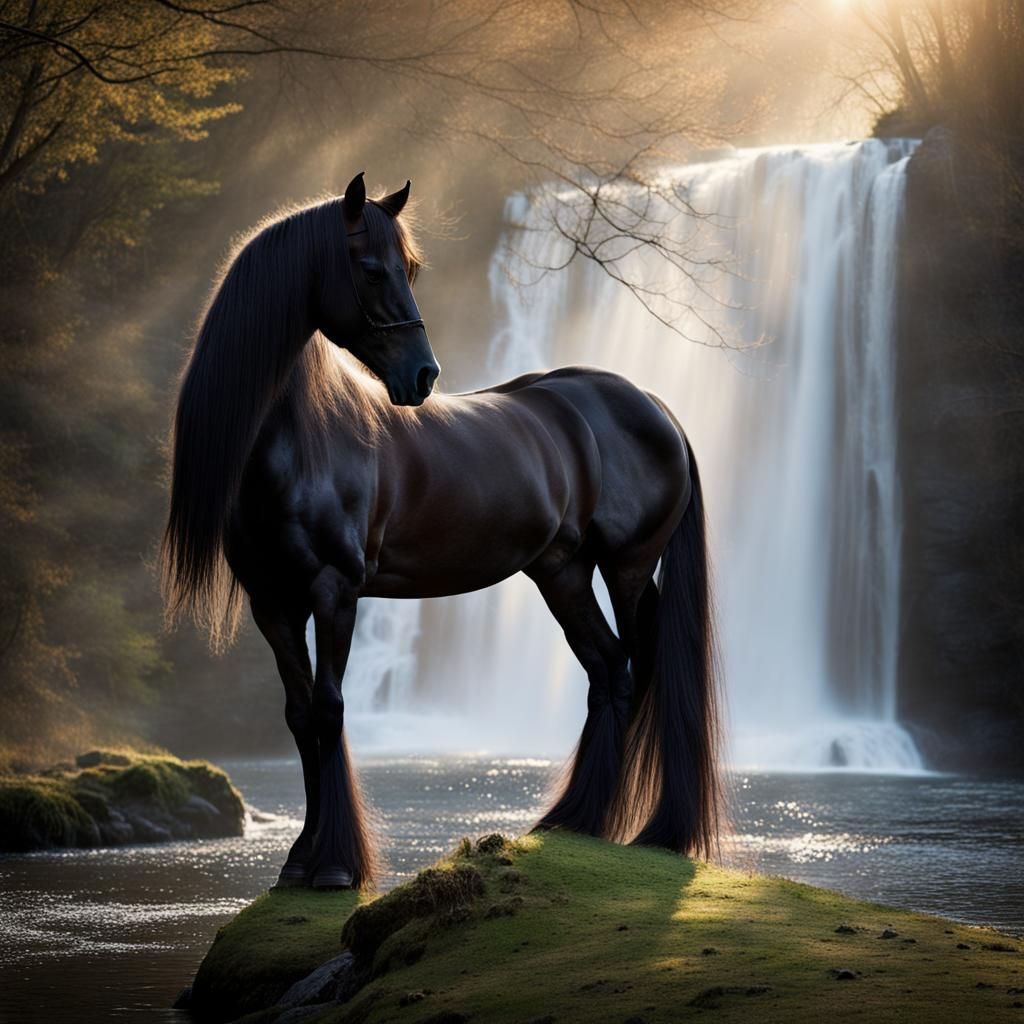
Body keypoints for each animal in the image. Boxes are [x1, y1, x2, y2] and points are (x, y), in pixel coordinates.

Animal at [161, 172, 722, 890]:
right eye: (371, 269)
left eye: (410, 268)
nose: (423, 376)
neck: (301, 439)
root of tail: (654, 406)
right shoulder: (273, 602)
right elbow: (299, 716)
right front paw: (299, 861)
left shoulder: (334, 591)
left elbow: (329, 710)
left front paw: (335, 865)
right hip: (563, 574)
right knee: (609, 671)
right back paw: (576, 821)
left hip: (624, 567)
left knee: (637, 671)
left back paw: (625, 827)